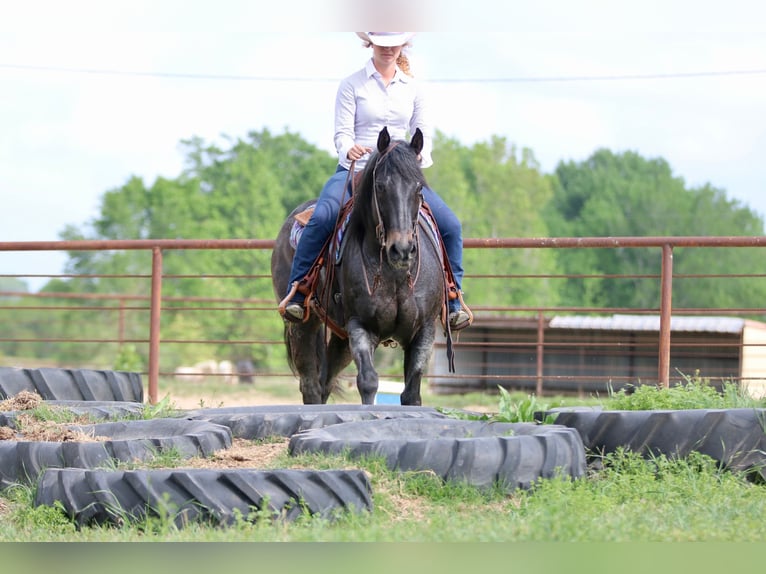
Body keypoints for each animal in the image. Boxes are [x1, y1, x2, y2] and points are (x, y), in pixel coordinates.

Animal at [271, 127, 447, 405]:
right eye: (380, 186)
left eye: (419, 187)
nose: (401, 249)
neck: (393, 275)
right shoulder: (361, 326)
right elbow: (368, 381)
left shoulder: (424, 329)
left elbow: (411, 392)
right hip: (303, 326)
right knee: (310, 385)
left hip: (340, 338)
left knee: (325, 382)